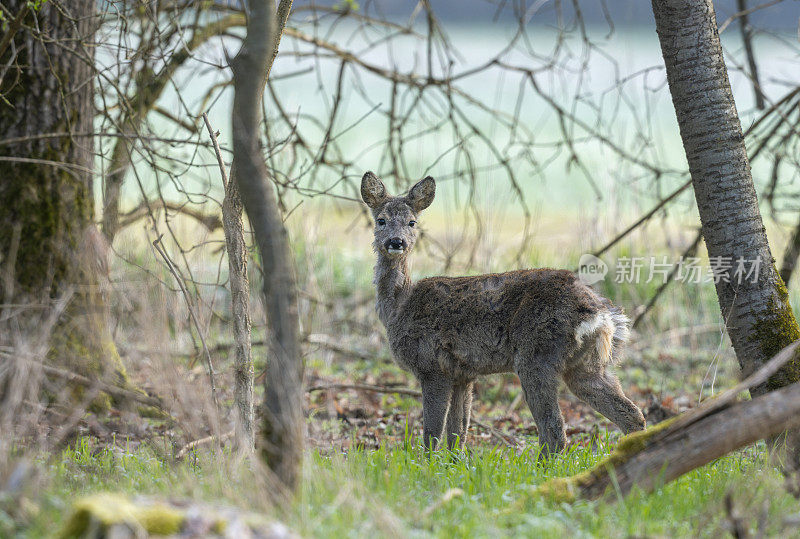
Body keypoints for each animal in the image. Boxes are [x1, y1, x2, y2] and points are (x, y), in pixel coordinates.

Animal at [360, 172, 648, 456]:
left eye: (412, 222)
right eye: (381, 220)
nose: (396, 242)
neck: (399, 306)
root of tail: (601, 314)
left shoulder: (432, 365)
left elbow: (432, 433)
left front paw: (426, 464)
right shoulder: (463, 373)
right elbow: (458, 432)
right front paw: (452, 463)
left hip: (537, 355)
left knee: (554, 430)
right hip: (586, 364)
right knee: (630, 413)